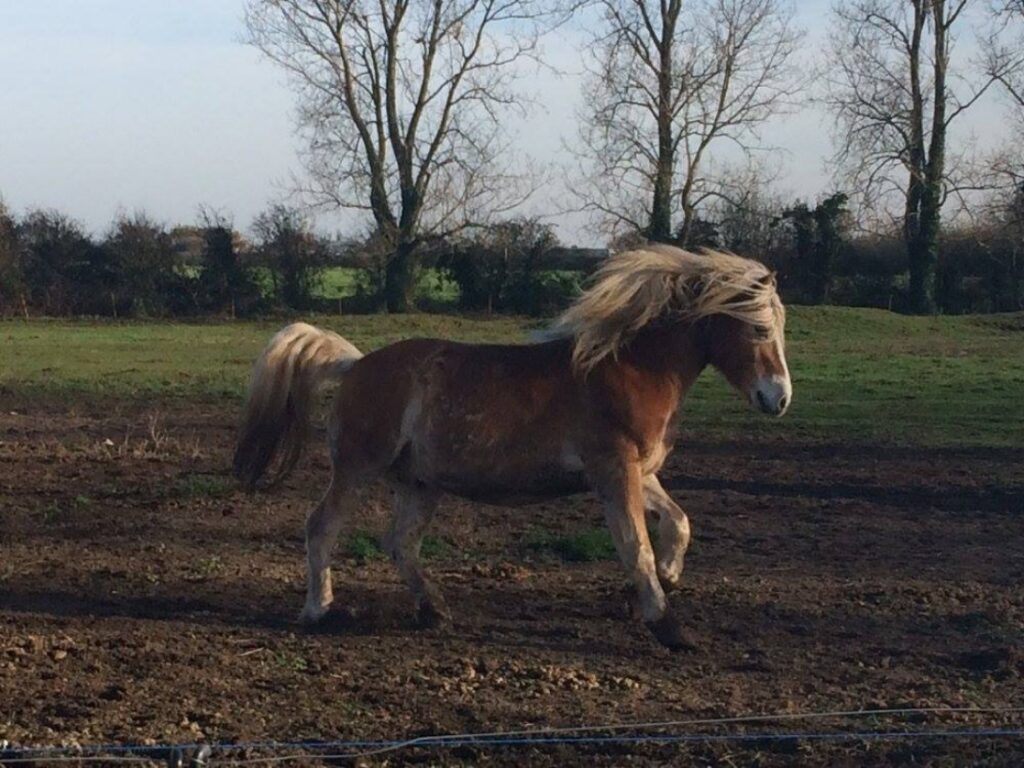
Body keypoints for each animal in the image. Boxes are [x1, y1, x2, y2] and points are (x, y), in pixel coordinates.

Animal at [232, 244, 790, 651]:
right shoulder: (613, 470)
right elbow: (637, 548)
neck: (627, 368)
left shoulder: (635, 471)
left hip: (420, 483)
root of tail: (355, 365)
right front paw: (669, 626)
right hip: (356, 468)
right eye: (758, 328)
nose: (779, 398)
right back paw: (321, 610)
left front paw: (670, 581)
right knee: (322, 527)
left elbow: (678, 522)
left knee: (400, 543)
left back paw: (434, 610)